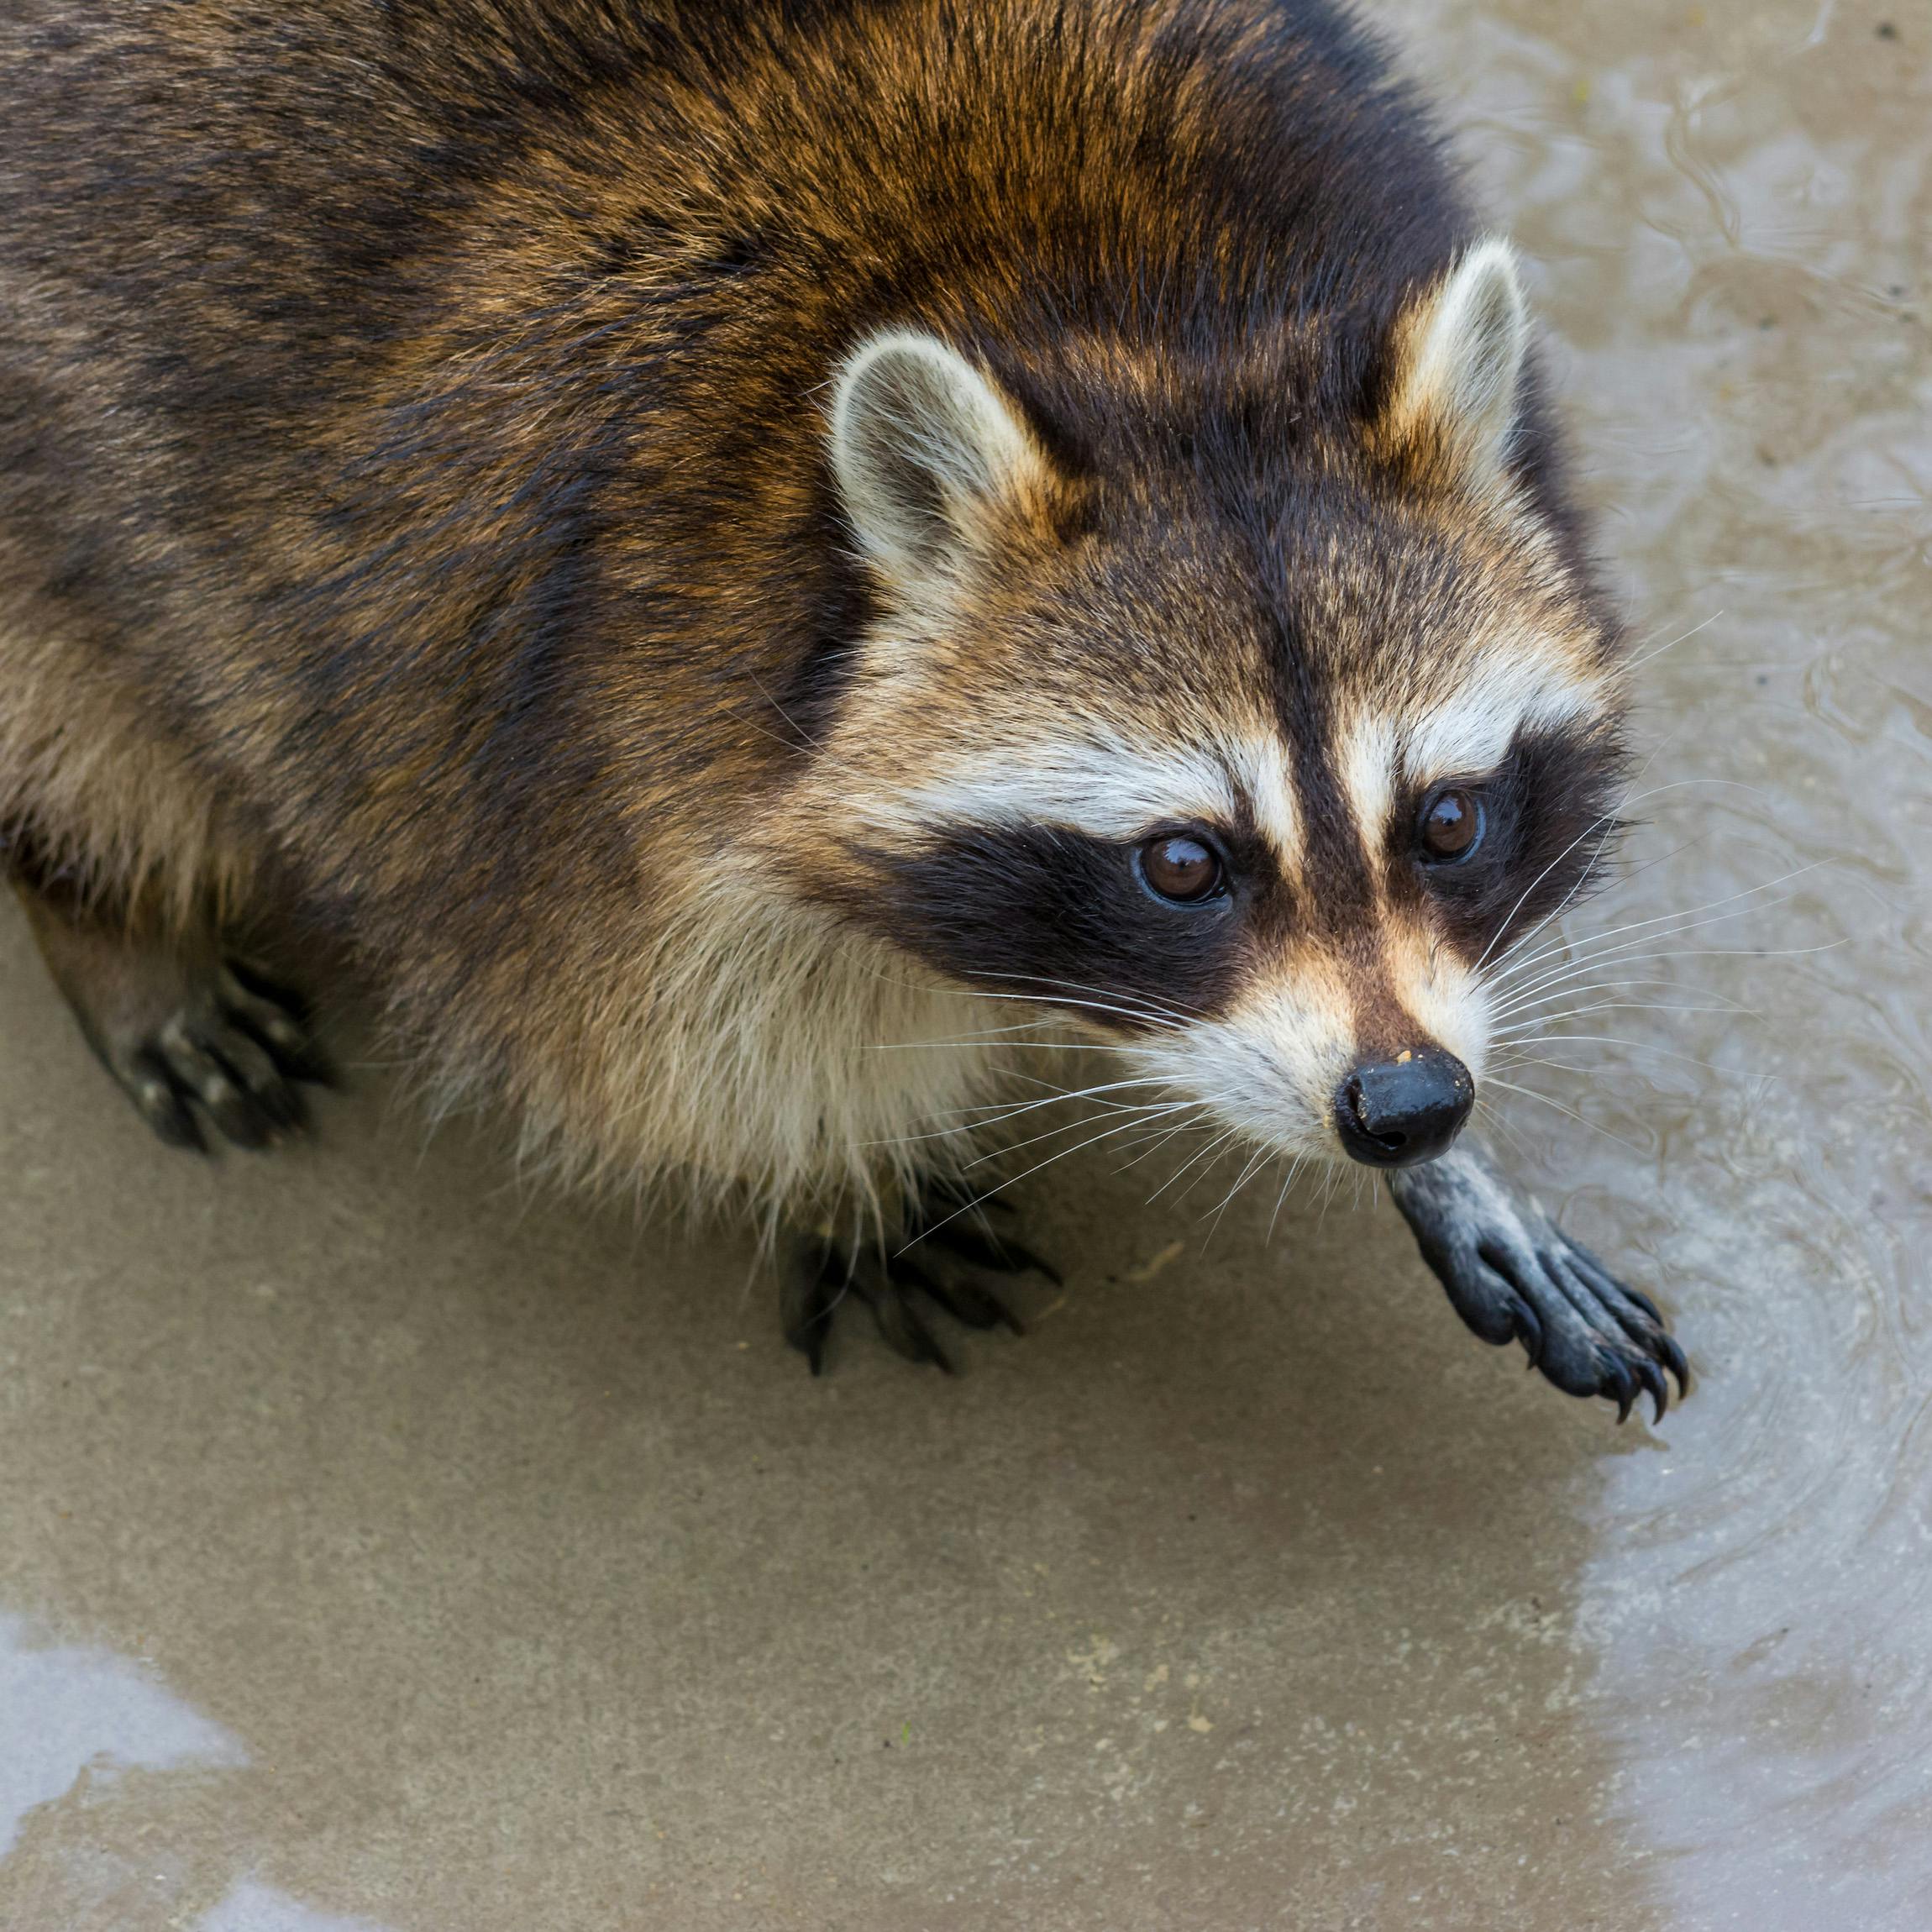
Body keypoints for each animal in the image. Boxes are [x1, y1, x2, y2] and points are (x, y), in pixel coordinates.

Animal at [0, 0, 1692, 1421]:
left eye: (1450, 820)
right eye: (1183, 864)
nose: (1404, 1105)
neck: (1118, 307)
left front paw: (1459, 1167)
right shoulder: (539, 697)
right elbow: (669, 1041)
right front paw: (835, 1173)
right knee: (83, 708)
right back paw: (101, 911)